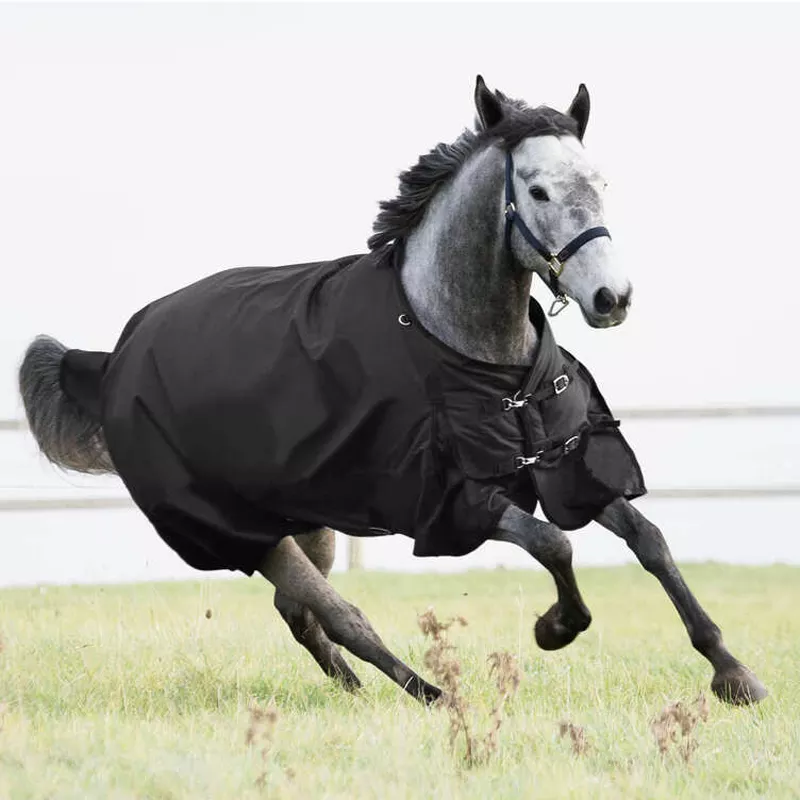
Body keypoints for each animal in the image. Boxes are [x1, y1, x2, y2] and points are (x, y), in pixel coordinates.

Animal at [19, 76, 766, 706]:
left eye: (601, 182)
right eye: (537, 191)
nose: (613, 298)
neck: (470, 350)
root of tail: (112, 358)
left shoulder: (564, 465)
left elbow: (649, 539)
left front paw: (733, 674)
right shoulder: (456, 499)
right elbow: (555, 544)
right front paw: (555, 627)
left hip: (305, 517)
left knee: (301, 614)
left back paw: (357, 692)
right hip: (248, 532)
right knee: (340, 615)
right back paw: (430, 695)